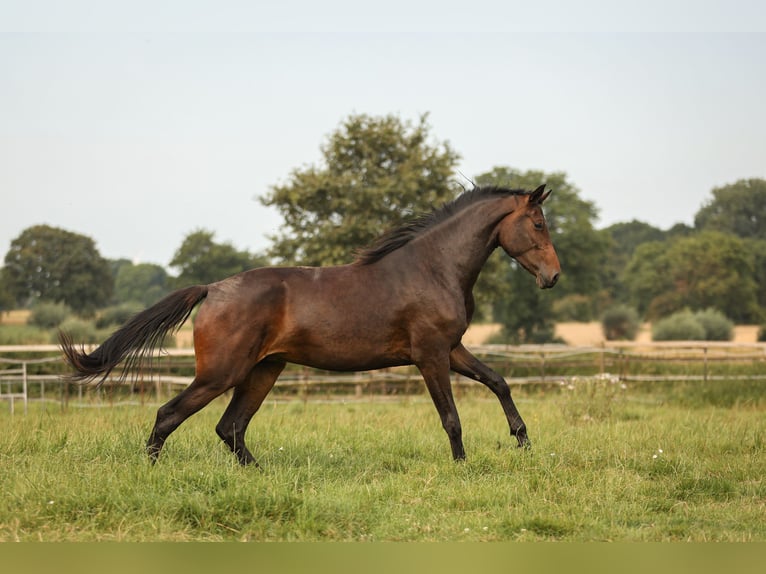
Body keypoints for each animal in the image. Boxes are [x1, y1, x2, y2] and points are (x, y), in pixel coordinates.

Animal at [60, 187, 560, 466]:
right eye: (537, 223)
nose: (553, 277)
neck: (435, 268)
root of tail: (213, 289)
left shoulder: (452, 349)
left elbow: (498, 381)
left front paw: (523, 442)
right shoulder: (431, 355)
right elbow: (451, 417)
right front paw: (461, 468)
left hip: (263, 370)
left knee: (230, 427)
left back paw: (261, 474)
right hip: (221, 373)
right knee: (170, 415)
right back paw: (151, 472)